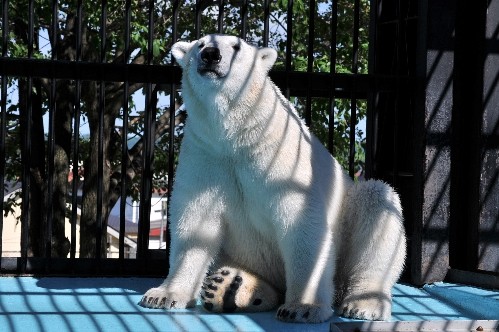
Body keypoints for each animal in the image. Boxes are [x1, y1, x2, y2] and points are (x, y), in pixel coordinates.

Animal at [140, 35, 406, 322]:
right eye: (199, 45)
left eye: (236, 47)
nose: (211, 54)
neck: (235, 135)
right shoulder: (207, 154)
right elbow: (196, 224)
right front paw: (162, 295)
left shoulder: (278, 156)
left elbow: (303, 225)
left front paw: (303, 308)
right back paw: (229, 287)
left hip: (348, 217)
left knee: (377, 204)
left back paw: (363, 303)